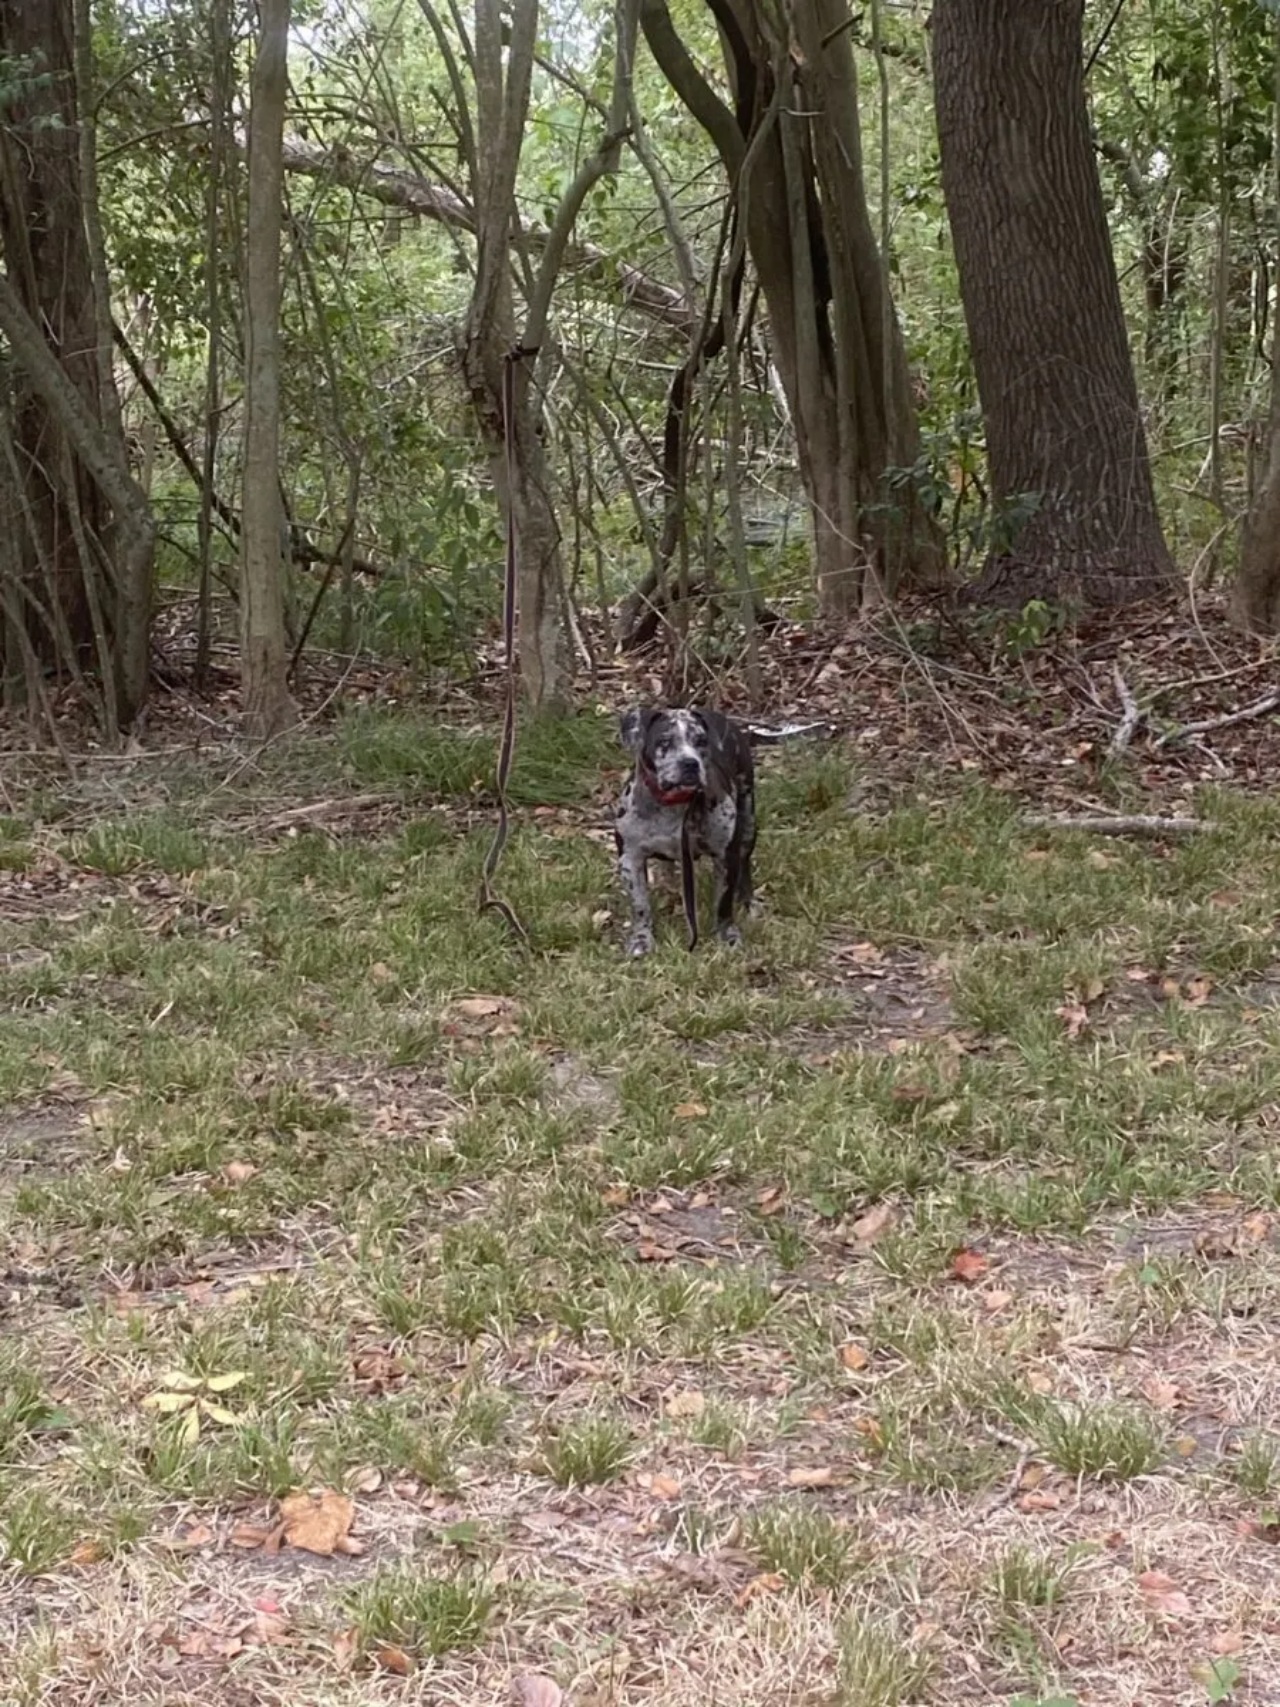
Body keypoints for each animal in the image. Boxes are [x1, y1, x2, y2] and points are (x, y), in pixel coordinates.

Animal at [617, 699, 757, 955]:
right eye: (664, 741)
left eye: (701, 741)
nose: (690, 763)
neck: (674, 804)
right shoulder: (630, 859)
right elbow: (640, 905)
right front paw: (642, 938)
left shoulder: (726, 855)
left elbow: (723, 902)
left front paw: (727, 934)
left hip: (748, 823)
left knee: (745, 866)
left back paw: (749, 903)